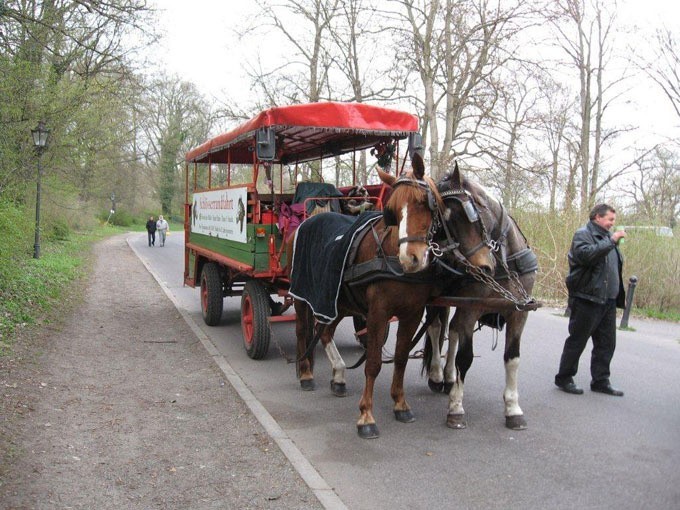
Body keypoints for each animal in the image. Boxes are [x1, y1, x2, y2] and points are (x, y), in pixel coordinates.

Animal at [290, 154, 494, 438]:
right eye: (393, 210)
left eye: (424, 203)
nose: (411, 258)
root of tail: (307, 221)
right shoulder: (378, 313)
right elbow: (374, 363)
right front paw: (366, 416)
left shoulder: (412, 313)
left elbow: (400, 358)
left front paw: (400, 404)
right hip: (302, 296)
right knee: (302, 331)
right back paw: (306, 374)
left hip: (339, 300)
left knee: (326, 331)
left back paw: (339, 375)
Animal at [424, 163, 536, 430]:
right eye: (441, 223)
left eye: (468, 213)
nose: (483, 267)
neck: (504, 261)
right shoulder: (471, 309)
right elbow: (465, 358)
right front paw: (456, 408)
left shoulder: (519, 314)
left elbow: (512, 358)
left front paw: (513, 409)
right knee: (436, 328)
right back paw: (437, 375)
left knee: (452, 329)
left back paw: (448, 377)